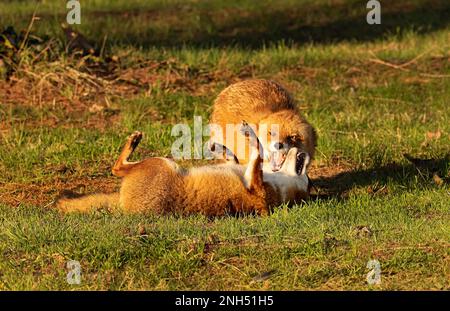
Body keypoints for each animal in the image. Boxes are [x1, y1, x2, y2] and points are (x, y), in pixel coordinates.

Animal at [55, 122, 310, 217]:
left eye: (307, 180)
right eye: (306, 173)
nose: (304, 154)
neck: (277, 188)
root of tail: (123, 205)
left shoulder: (257, 189)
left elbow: (257, 153)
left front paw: (251, 136)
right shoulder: (242, 170)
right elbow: (238, 156)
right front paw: (222, 146)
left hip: (162, 163)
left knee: (116, 168)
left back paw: (133, 143)